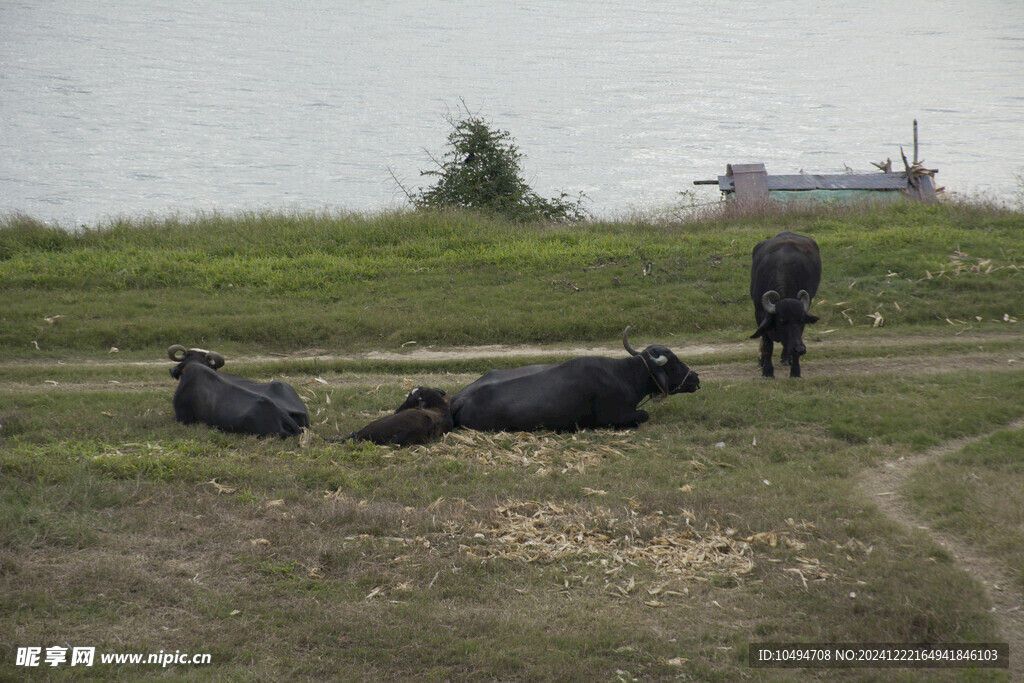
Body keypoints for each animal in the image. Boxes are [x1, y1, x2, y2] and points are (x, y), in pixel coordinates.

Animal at [452, 327, 700, 432]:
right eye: (674, 361)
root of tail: (460, 399)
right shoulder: (613, 416)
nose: (696, 377)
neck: (624, 375)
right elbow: (643, 415)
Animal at [753, 232, 823, 376]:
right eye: (781, 320)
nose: (800, 349)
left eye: (801, 320)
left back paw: (786, 358)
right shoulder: (758, 312)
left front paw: (795, 370)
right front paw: (767, 371)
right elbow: (767, 345)